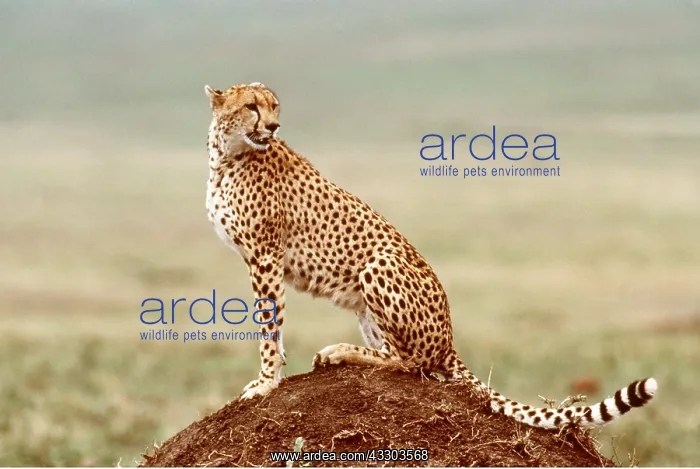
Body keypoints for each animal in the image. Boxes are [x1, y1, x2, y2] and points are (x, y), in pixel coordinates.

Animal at [203, 81, 657, 429]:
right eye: (251, 106)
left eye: (273, 106)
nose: (273, 125)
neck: (227, 156)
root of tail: (450, 337)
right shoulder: (261, 258)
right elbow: (272, 325)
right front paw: (271, 375)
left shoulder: (265, 256)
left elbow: (268, 326)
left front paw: (265, 382)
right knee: (414, 362)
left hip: (379, 263)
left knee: (409, 361)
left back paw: (341, 351)